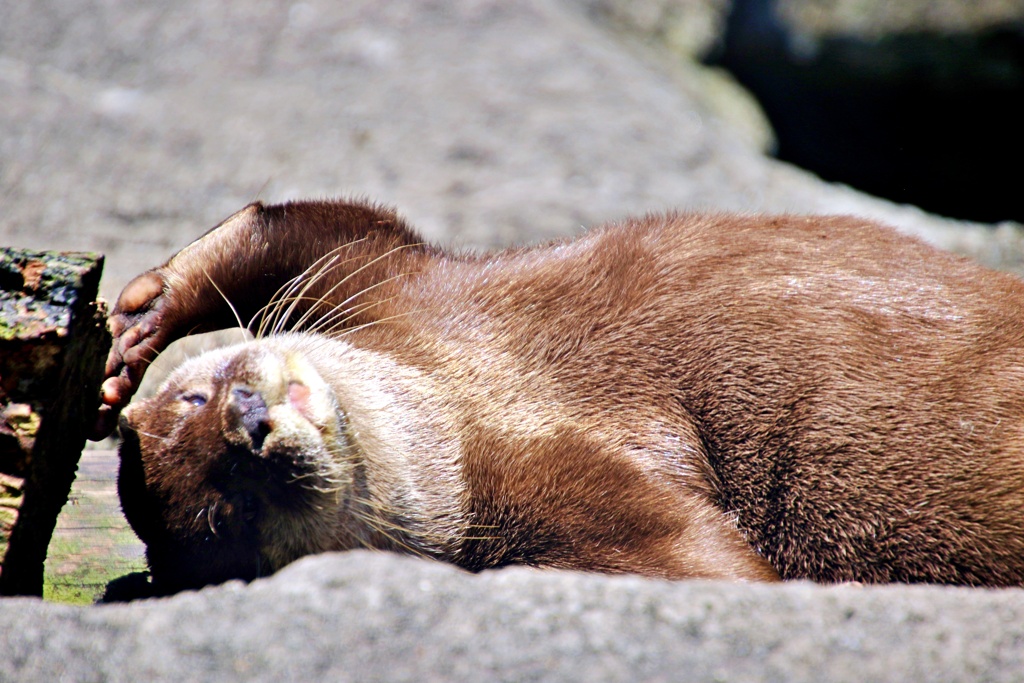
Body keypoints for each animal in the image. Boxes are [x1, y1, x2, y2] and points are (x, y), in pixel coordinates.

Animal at [96, 198, 1024, 593]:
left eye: (197, 398)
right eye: (231, 510)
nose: (248, 425)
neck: (459, 398)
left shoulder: (396, 285)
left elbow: (301, 223)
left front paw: (139, 321)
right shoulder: (546, 485)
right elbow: (713, 565)